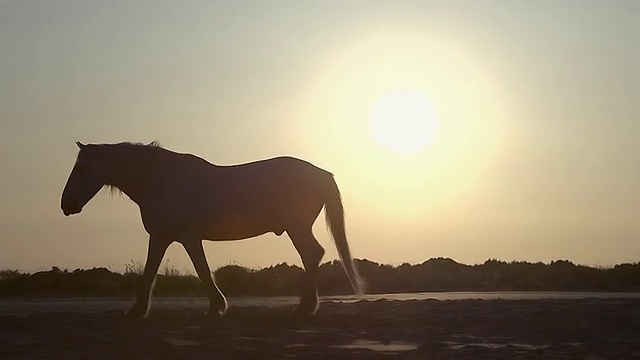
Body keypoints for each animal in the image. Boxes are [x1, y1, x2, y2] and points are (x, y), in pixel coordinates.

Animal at [62, 141, 362, 318]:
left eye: (83, 167)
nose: (66, 205)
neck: (161, 180)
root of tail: (321, 173)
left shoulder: (188, 238)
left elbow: (202, 270)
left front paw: (217, 306)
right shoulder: (161, 237)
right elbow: (149, 272)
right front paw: (137, 310)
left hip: (296, 227)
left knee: (311, 255)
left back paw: (306, 307)